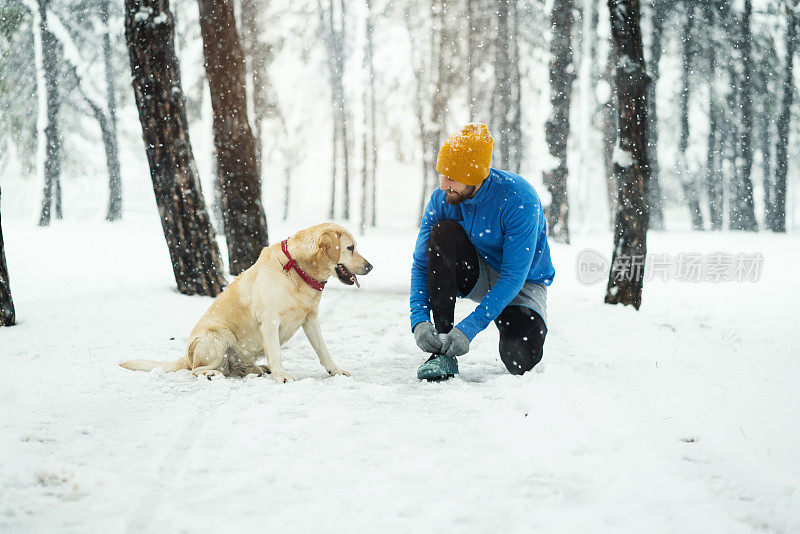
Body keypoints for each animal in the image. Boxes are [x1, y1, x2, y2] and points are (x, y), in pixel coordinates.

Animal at [119, 224, 372, 384]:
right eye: (350, 248)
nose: (370, 267)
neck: (297, 270)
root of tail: (187, 355)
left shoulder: (311, 320)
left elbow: (324, 351)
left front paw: (335, 371)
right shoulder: (269, 322)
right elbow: (276, 353)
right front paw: (282, 376)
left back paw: (259, 369)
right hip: (219, 337)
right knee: (196, 370)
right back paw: (213, 375)